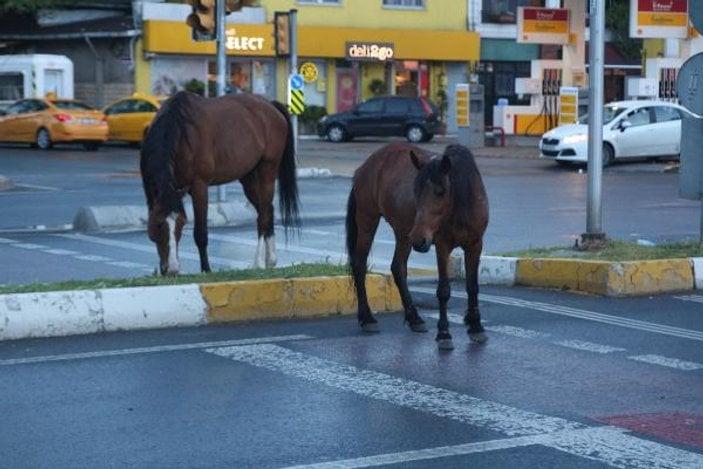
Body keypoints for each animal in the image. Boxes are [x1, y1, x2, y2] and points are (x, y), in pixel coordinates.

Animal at [140, 90, 300, 274]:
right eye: (159, 224)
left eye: (181, 223)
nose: (172, 269)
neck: (180, 131)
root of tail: (271, 106)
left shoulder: (199, 186)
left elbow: (200, 233)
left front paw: (206, 269)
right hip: (248, 178)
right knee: (267, 210)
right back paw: (271, 259)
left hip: (268, 169)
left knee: (264, 216)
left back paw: (259, 262)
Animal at [346, 143, 490, 352]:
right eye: (415, 190)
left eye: (440, 191)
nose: (420, 239)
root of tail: (365, 166)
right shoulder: (442, 246)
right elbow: (443, 291)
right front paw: (444, 334)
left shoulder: (475, 244)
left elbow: (472, 287)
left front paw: (476, 327)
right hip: (369, 220)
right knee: (359, 265)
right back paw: (367, 318)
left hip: (403, 233)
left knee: (398, 268)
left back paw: (414, 318)